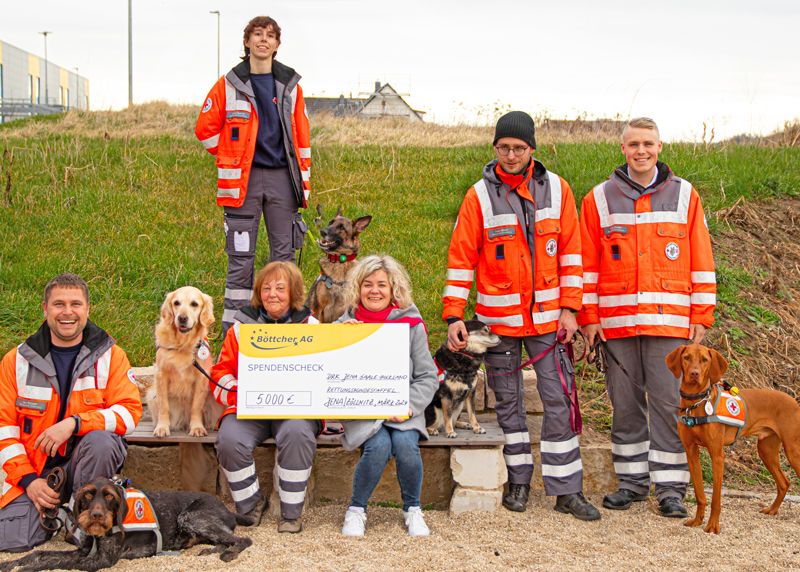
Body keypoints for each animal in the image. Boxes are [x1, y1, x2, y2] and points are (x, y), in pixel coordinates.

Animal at [0, 478, 250, 572]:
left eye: (109, 497)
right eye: (88, 495)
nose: (96, 516)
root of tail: (229, 509)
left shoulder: (100, 559)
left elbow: (53, 561)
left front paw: (29, 568)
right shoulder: (84, 551)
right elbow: (40, 553)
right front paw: (11, 563)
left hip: (191, 517)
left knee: (243, 539)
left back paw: (228, 553)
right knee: (224, 539)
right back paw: (210, 550)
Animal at [664, 342, 800, 536]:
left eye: (704, 360)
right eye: (687, 357)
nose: (694, 373)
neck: (695, 404)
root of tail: (793, 400)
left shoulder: (717, 455)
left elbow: (716, 498)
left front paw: (713, 526)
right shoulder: (691, 452)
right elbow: (700, 494)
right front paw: (697, 521)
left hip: (792, 450)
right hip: (766, 450)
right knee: (784, 482)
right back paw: (772, 510)